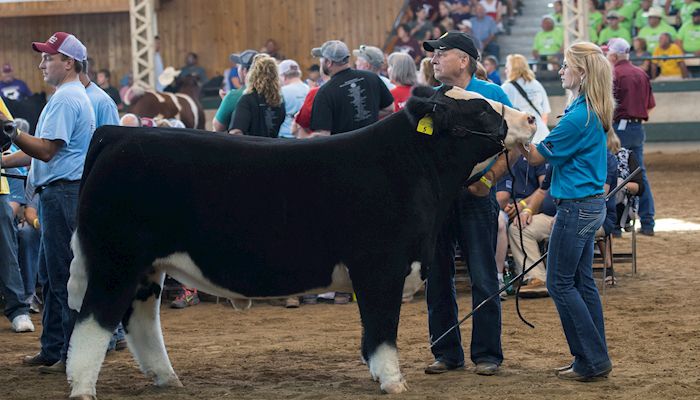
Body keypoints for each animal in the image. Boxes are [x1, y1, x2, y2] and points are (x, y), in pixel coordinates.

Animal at [65, 86, 536, 398]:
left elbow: (373, 329)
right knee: (93, 322)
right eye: (480, 110)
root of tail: (119, 134)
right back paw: (83, 387)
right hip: (115, 260)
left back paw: (167, 378)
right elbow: (382, 329)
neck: (411, 164)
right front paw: (392, 380)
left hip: (148, 268)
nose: (531, 119)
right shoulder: (380, 264)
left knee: (142, 321)